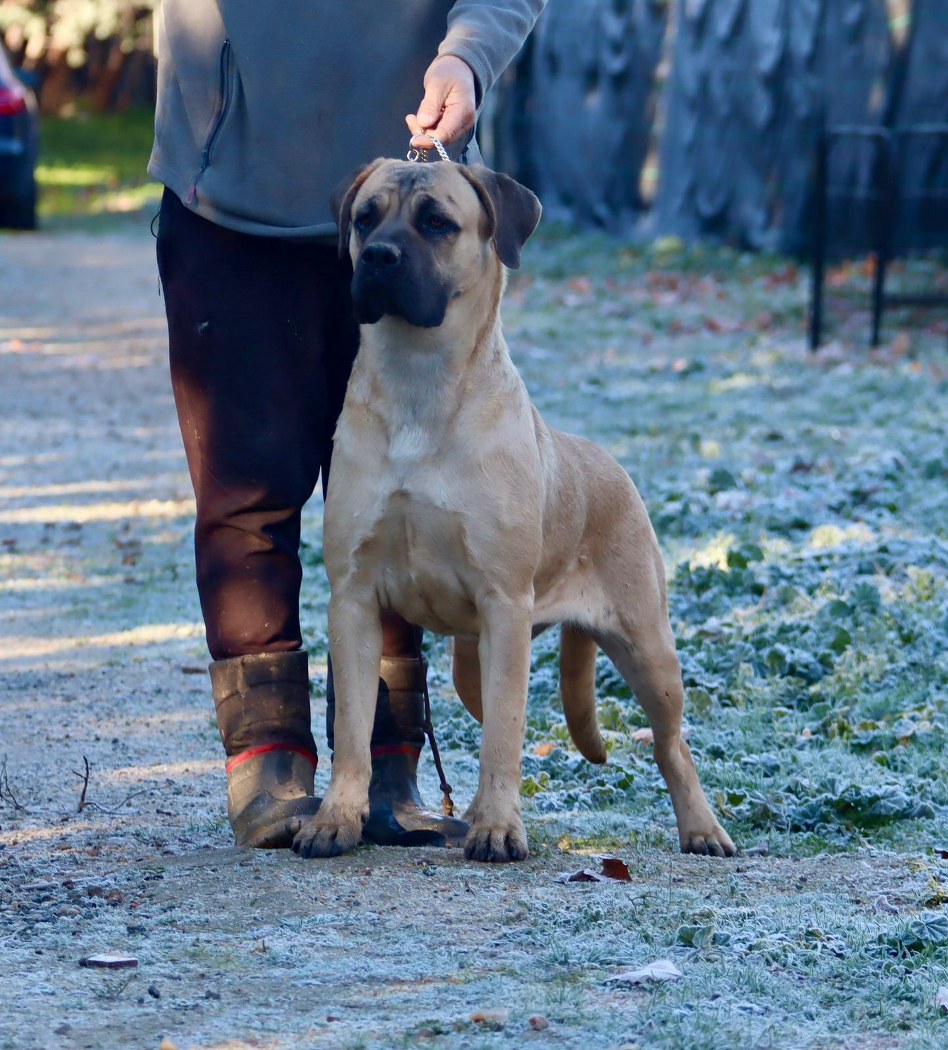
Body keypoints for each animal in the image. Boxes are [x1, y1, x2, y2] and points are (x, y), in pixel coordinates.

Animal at [292, 158, 735, 864]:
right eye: (365, 218)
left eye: (437, 223)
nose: (381, 256)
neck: (419, 381)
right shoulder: (354, 600)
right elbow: (356, 731)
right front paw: (335, 819)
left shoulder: (503, 603)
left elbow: (504, 736)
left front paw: (501, 828)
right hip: (474, 661)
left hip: (647, 649)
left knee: (671, 745)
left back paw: (702, 828)